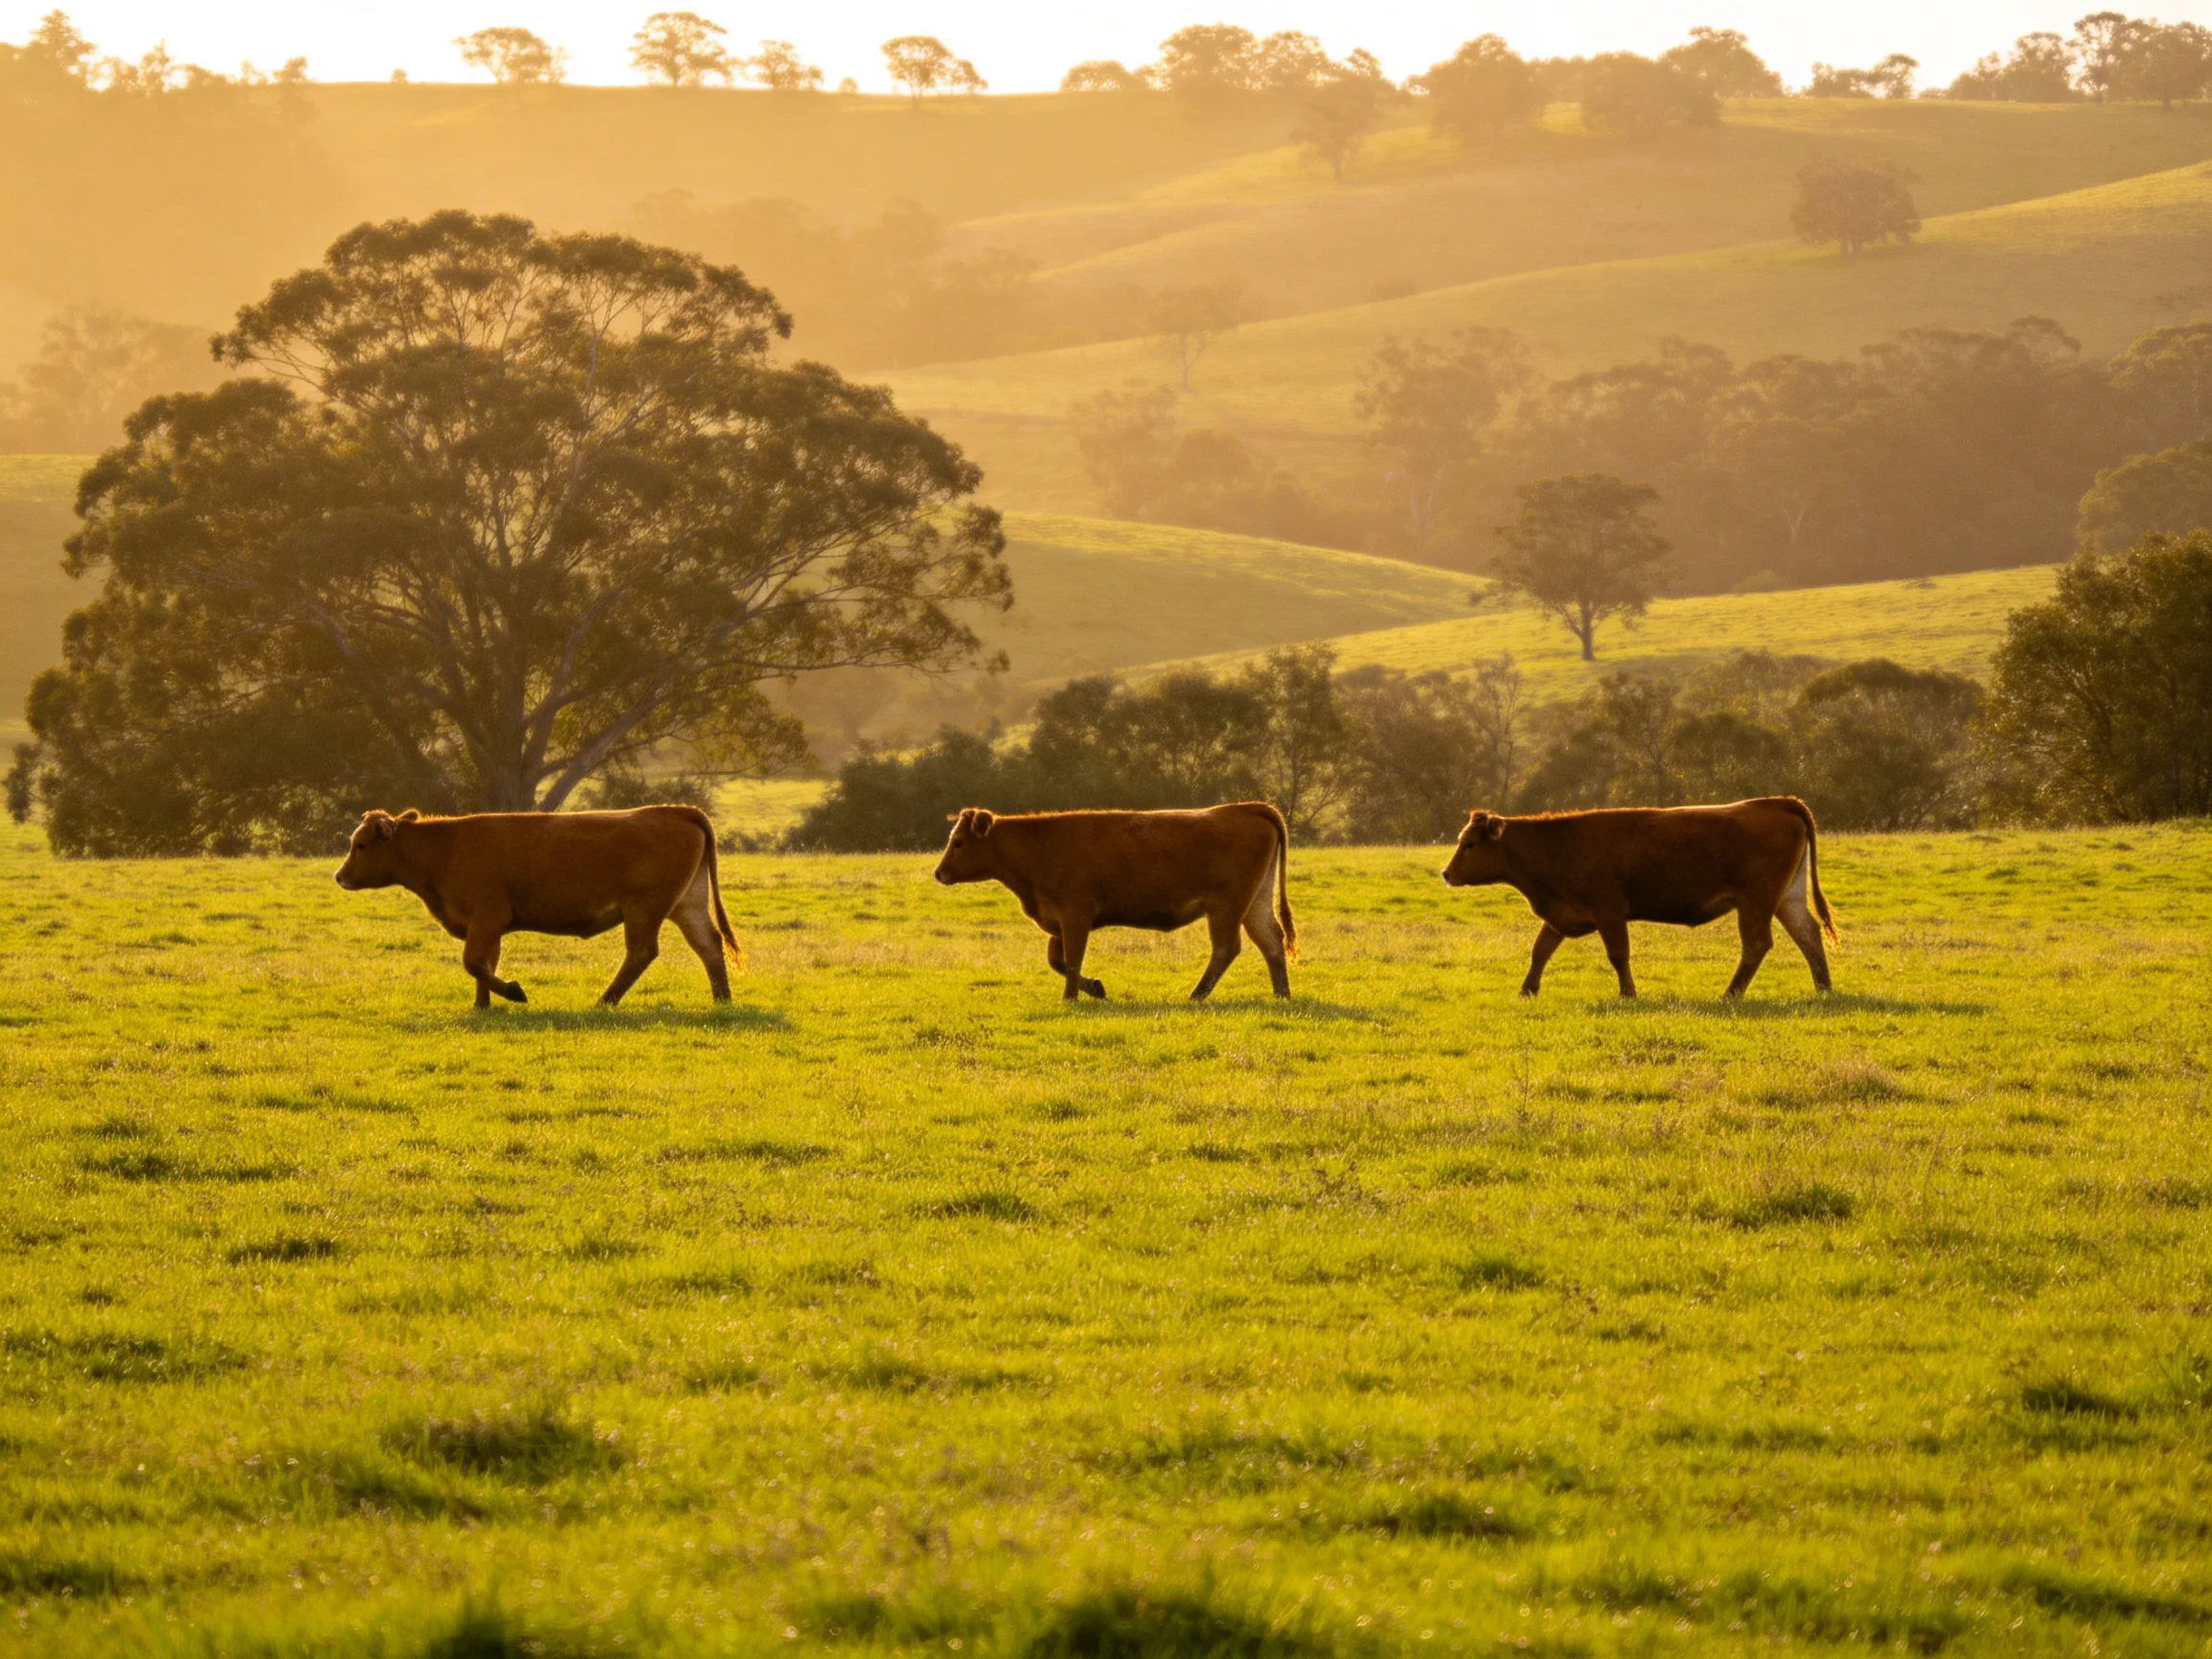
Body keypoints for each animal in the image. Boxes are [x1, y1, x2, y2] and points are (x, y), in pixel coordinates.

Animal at [333, 805, 742, 1009]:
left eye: (361, 845)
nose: (339, 876)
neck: (442, 848)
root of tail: (674, 810)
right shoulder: (489, 927)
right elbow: (484, 965)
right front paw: (482, 1006)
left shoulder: (486, 918)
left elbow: (474, 963)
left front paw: (514, 992)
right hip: (687, 904)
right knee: (708, 944)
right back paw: (722, 999)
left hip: (645, 908)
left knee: (642, 952)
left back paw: (604, 1001)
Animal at [932, 802, 1296, 1002]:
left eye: (959, 842)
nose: (939, 872)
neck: (1038, 846)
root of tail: (1247, 807)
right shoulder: (1059, 920)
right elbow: (1056, 960)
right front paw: (1094, 988)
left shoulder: (1075, 915)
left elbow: (1072, 959)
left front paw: (1070, 998)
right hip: (1254, 902)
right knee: (1270, 940)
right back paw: (1281, 994)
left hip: (1227, 905)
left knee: (1227, 948)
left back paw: (1196, 995)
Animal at [1439, 796, 1836, 999]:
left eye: (1469, 843)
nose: (1446, 873)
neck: (1556, 844)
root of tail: (1777, 803)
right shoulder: (1560, 914)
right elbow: (1540, 951)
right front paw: (1527, 990)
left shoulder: (1609, 912)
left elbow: (1618, 954)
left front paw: (1628, 993)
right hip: (1787, 899)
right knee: (1808, 934)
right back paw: (1823, 988)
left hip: (1756, 902)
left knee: (1756, 944)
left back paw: (1730, 994)